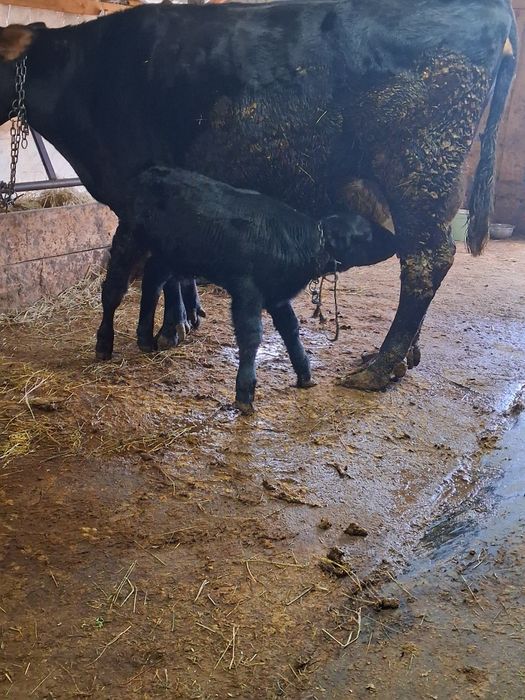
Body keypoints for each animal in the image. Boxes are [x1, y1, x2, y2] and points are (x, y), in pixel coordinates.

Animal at [127, 166, 397, 412]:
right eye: (366, 234)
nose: (395, 240)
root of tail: (153, 171)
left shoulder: (278, 296)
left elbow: (291, 329)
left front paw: (305, 374)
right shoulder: (247, 291)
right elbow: (251, 334)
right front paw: (245, 392)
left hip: (170, 257)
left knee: (152, 280)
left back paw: (145, 338)